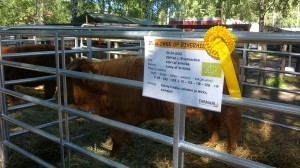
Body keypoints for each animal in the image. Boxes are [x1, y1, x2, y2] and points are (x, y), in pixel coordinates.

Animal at [66, 54, 241, 156]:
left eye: (69, 79)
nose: (59, 96)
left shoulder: (118, 117)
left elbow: (116, 138)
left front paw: (112, 155)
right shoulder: (129, 119)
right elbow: (127, 135)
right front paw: (130, 145)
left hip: (228, 106)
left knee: (232, 124)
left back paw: (231, 149)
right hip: (207, 108)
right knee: (213, 123)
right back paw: (210, 143)